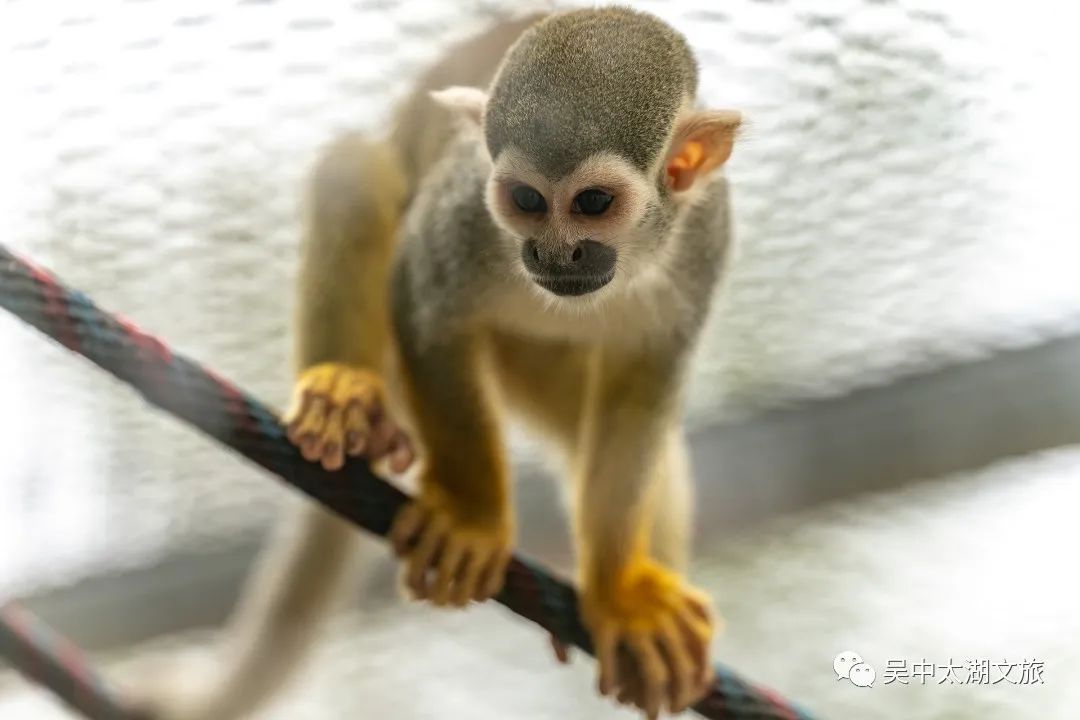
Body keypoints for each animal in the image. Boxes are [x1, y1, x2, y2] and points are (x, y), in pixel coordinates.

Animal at [132, 7, 743, 720]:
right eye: (526, 201)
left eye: (593, 204)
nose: (552, 255)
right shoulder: (466, 208)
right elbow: (425, 302)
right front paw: (470, 521)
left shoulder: (704, 241)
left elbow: (642, 398)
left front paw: (622, 595)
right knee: (353, 170)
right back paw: (346, 395)